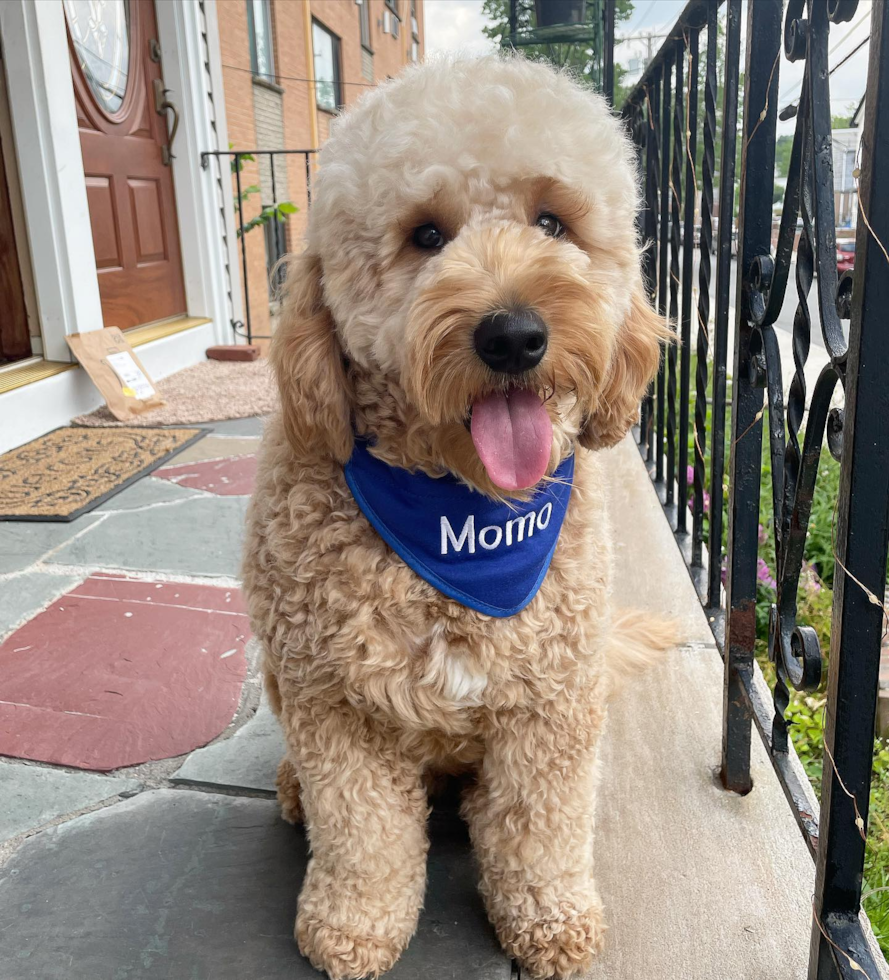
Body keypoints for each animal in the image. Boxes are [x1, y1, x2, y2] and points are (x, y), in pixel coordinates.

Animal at [243, 55, 672, 980]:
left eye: (552, 221)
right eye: (425, 235)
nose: (513, 335)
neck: (460, 512)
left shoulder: (552, 704)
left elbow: (542, 829)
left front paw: (549, 917)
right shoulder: (334, 705)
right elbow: (361, 833)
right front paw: (353, 926)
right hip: (279, 678)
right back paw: (291, 789)